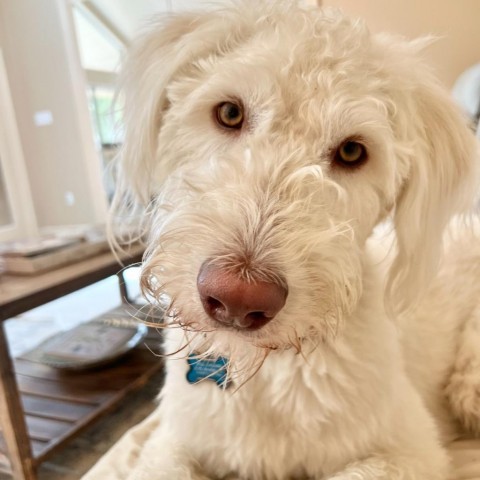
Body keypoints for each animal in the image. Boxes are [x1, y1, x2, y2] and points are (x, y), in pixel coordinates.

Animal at [110, 1, 480, 478]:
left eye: (352, 152)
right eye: (229, 113)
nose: (237, 299)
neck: (266, 369)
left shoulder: (412, 451)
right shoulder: (172, 440)